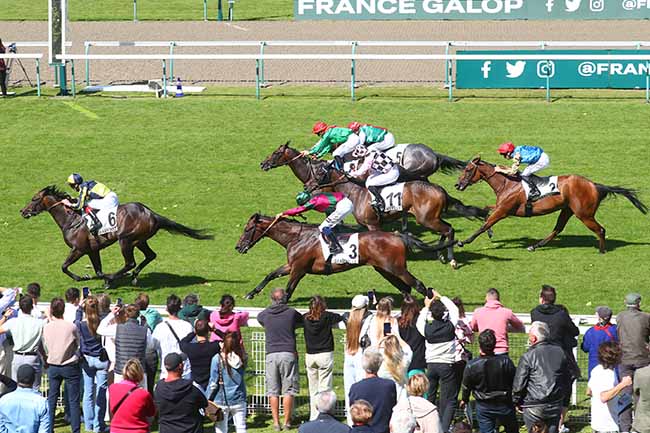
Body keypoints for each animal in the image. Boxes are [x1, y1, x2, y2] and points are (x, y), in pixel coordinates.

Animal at [19, 184, 213, 286]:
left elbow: (64, 266)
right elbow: (97, 270)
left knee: (130, 262)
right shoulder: (92, 250)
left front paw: (83, 277)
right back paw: (133, 276)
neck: (71, 219)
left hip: (125, 240)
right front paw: (95, 277)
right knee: (150, 255)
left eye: (34, 199)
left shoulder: (78, 249)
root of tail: (151, 213)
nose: (23, 211)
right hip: (139, 240)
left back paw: (116, 277)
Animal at [234, 213, 450, 300]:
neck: (297, 237)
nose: (238, 247)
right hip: (384, 269)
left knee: (419, 286)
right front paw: (251, 293)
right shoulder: (292, 266)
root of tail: (398, 235)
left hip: (395, 268)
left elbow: (288, 291)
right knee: (406, 289)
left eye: (247, 229)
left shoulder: (298, 269)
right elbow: (270, 274)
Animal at [258, 143, 486, 268]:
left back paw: (450, 258)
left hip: (426, 217)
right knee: (445, 229)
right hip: (429, 215)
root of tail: (440, 190)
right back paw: (440, 252)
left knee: (448, 229)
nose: (263, 163)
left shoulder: (372, 223)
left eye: (275, 154)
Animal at [454, 158, 644, 253]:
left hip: (584, 214)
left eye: (468, 170)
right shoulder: (502, 208)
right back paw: (535, 246)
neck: (507, 183)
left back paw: (602, 251)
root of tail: (595, 185)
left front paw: (464, 241)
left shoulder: (504, 210)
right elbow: (486, 212)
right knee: (557, 229)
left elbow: (485, 224)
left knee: (600, 230)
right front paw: (490, 232)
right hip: (567, 210)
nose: (457, 185)